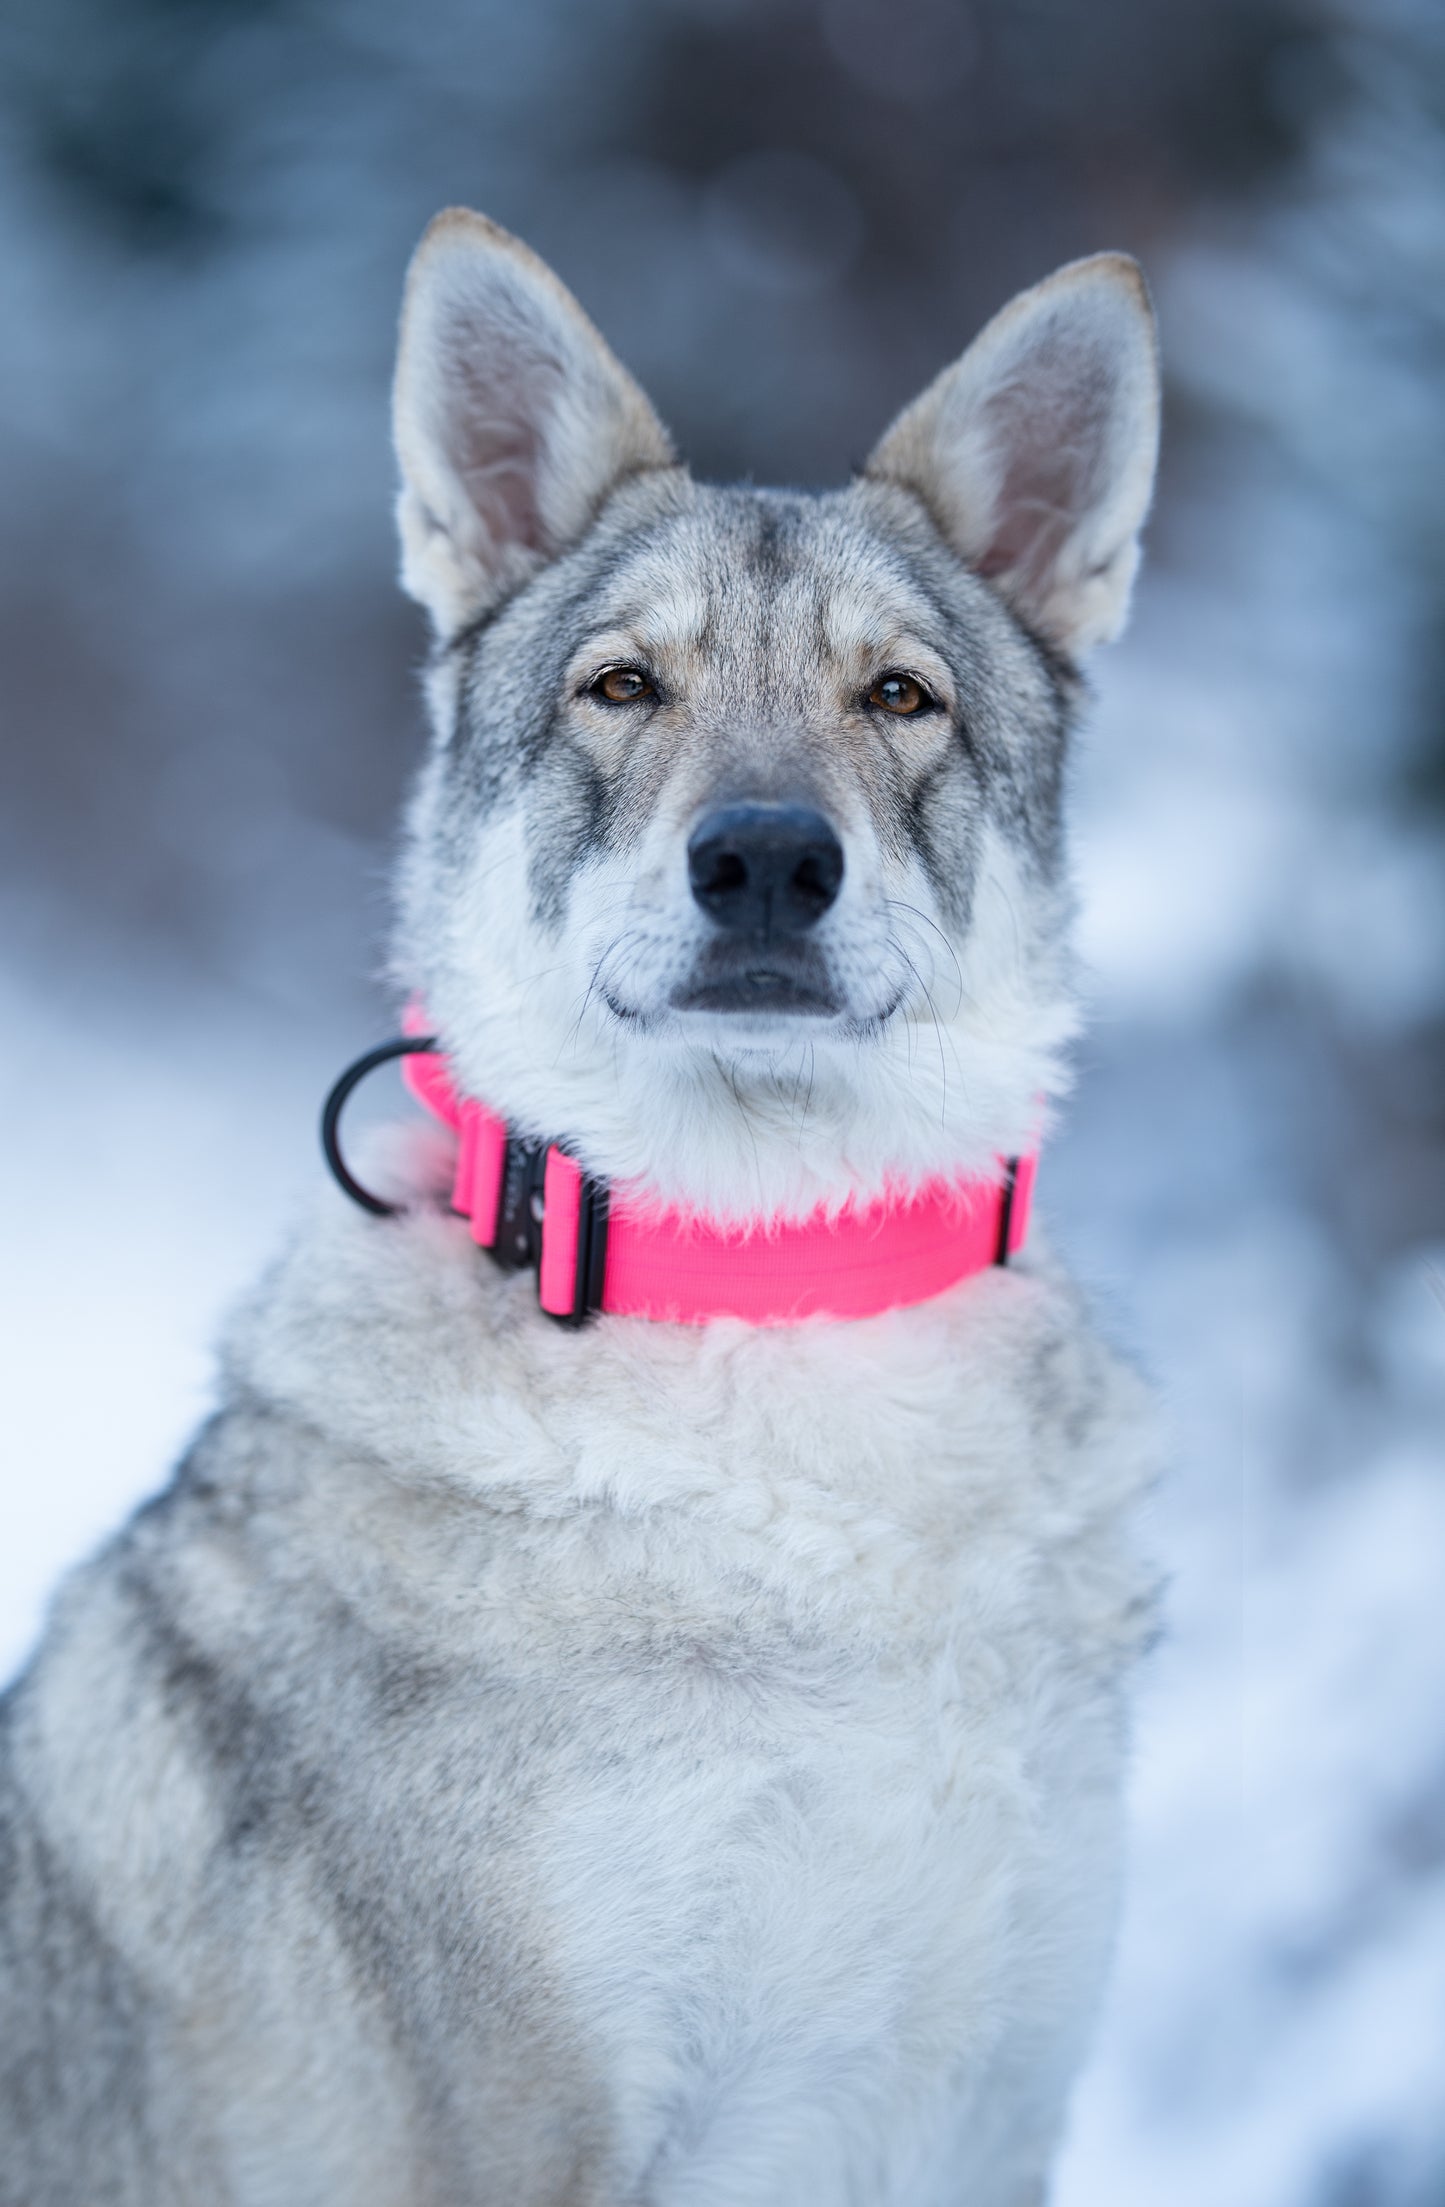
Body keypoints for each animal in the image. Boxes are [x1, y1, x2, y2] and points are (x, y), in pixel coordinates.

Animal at [0, 210, 1164, 2207]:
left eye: (899, 696)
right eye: (623, 688)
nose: (764, 857)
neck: (770, 1287)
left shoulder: (985, 2109)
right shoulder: (531, 2142)